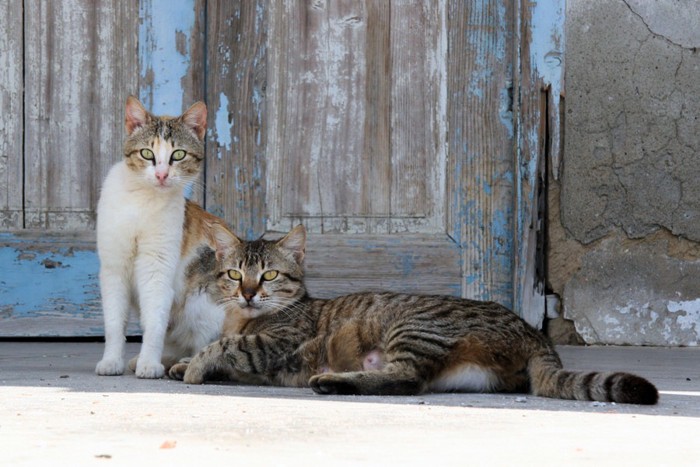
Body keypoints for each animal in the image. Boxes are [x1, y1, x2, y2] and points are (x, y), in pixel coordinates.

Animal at [95, 98, 231, 380]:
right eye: (147, 153)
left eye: (178, 155)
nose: (161, 175)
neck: (142, 201)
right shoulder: (114, 268)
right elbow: (114, 322)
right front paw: (111, 361)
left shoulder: (157, 267)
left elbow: (155, 320)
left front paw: (149, 363)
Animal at [170, 225, 660, 404]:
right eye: (235, 274)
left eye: (269, 274)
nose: (249, 293)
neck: (243, 317)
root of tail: (534, 332)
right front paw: (181, 362)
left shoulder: (274, 343)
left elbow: (227, 345)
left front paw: (194, 365)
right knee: (416, 380)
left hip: (412, 328)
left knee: (405, 379)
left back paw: (332, 382)